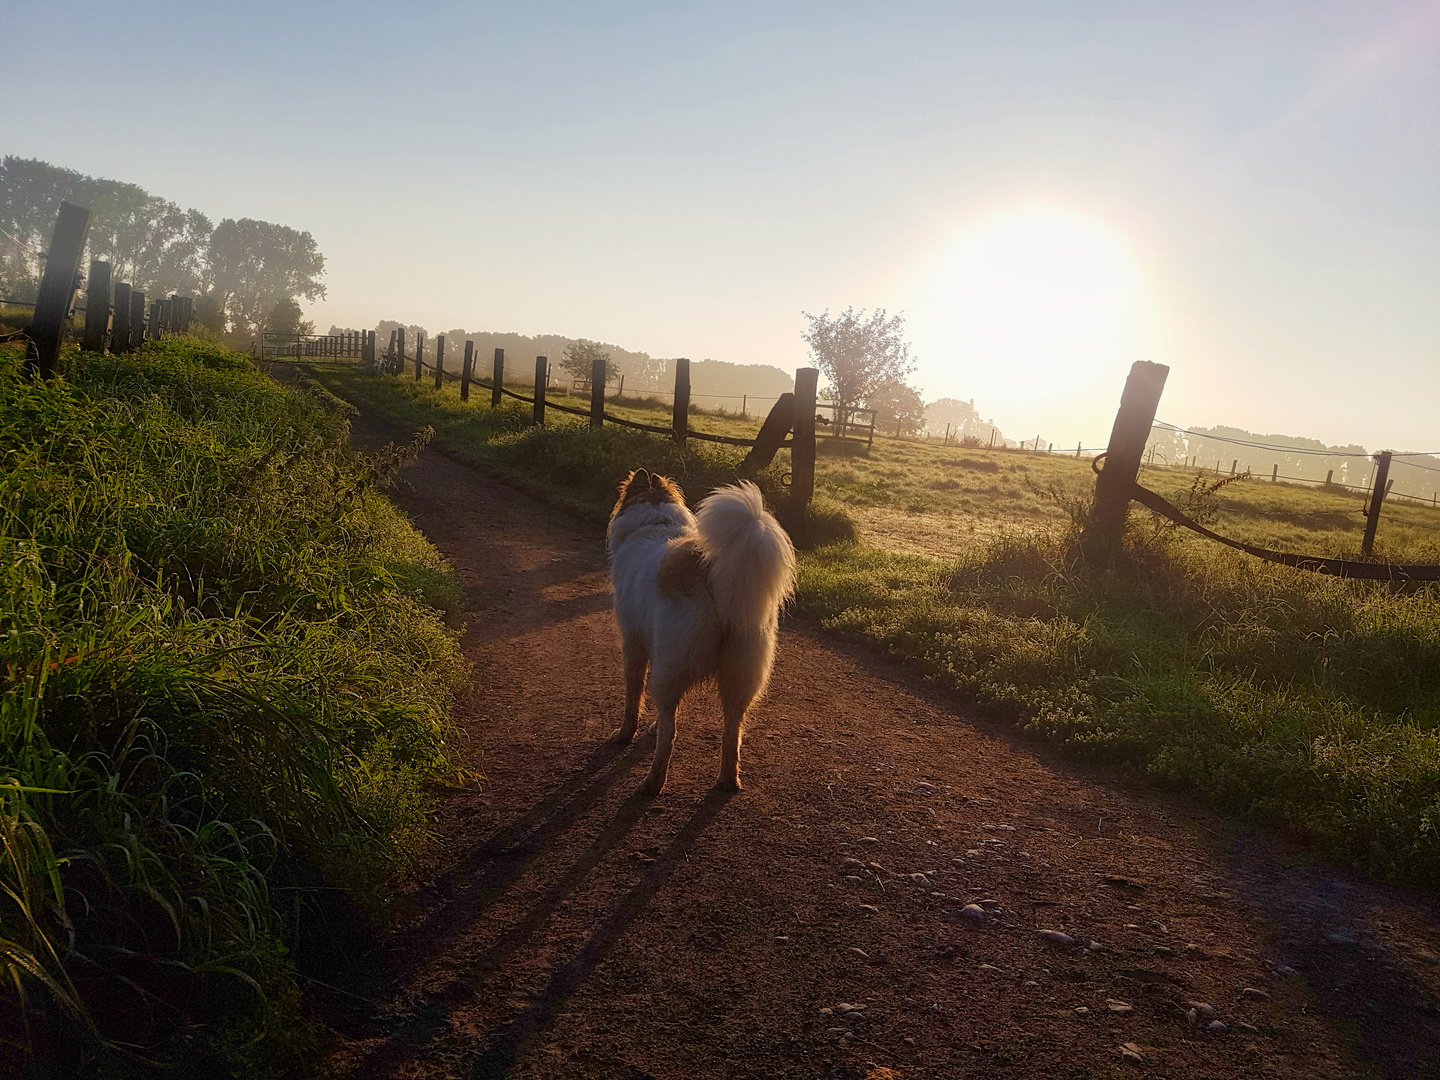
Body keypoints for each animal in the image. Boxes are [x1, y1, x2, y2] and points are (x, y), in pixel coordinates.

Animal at [601, 472, 794, 794]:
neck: (654, 521)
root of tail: (714, 578)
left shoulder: (634, 644)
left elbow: (633, 696)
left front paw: (625, 734)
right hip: (739, 675)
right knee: (732, 731)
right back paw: (728, 780)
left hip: (672, 666)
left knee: (670, 733)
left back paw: (653, 782)